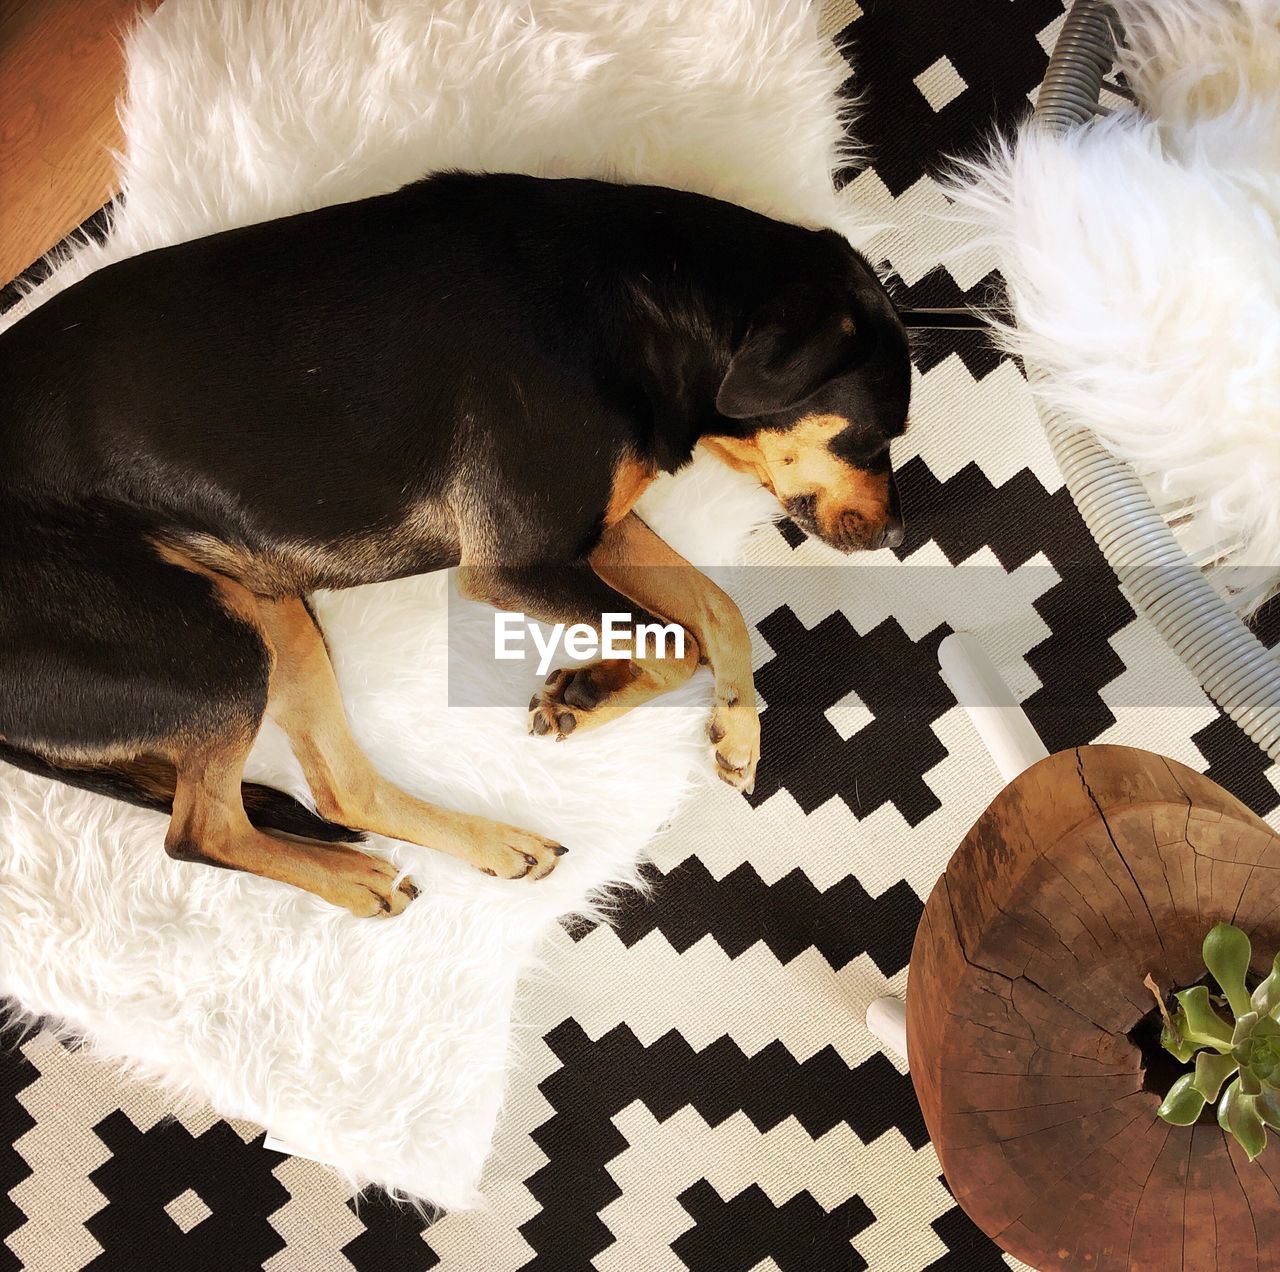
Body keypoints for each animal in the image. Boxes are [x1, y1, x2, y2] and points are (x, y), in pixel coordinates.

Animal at [0, 174, 911, 916]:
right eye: (876, 436)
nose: (903, 535)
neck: (645, 298)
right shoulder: (521, 561)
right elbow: (676, 640)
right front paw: (598, 691)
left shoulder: (595, 531)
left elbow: (716, 609)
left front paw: (720, 723)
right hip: (214, 647)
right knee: (200, 832)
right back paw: (355, 881)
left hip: (265, 612)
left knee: (339, 791)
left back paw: (491, 846)